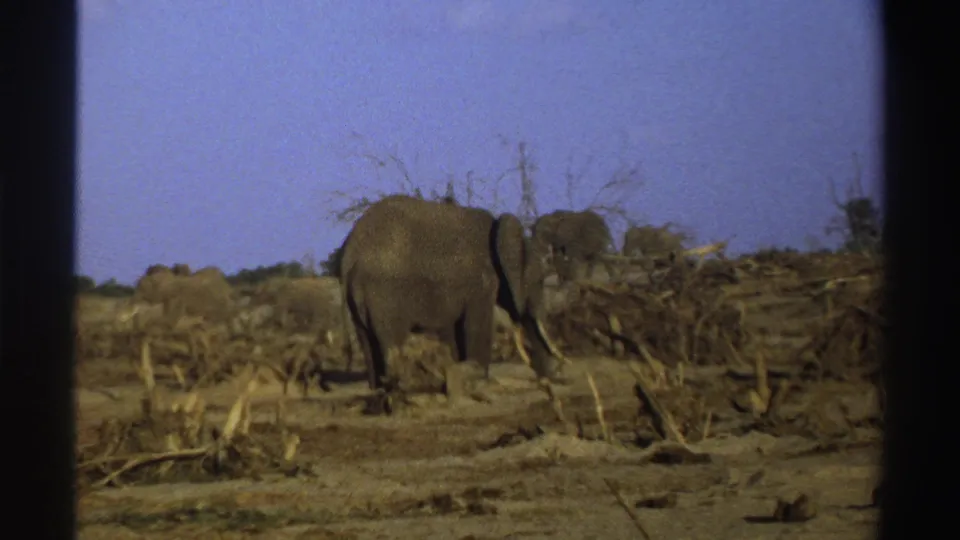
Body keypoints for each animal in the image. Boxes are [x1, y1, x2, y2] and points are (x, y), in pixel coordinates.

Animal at [338, 194, 565, 392]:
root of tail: (349, 257)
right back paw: (404, 385)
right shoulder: (480, 282)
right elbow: (477, 326)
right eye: (538, 281)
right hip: (384, 294)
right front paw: (479, 378)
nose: (548, 379)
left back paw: (379, 388)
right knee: (393, 340)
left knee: (368, 343)